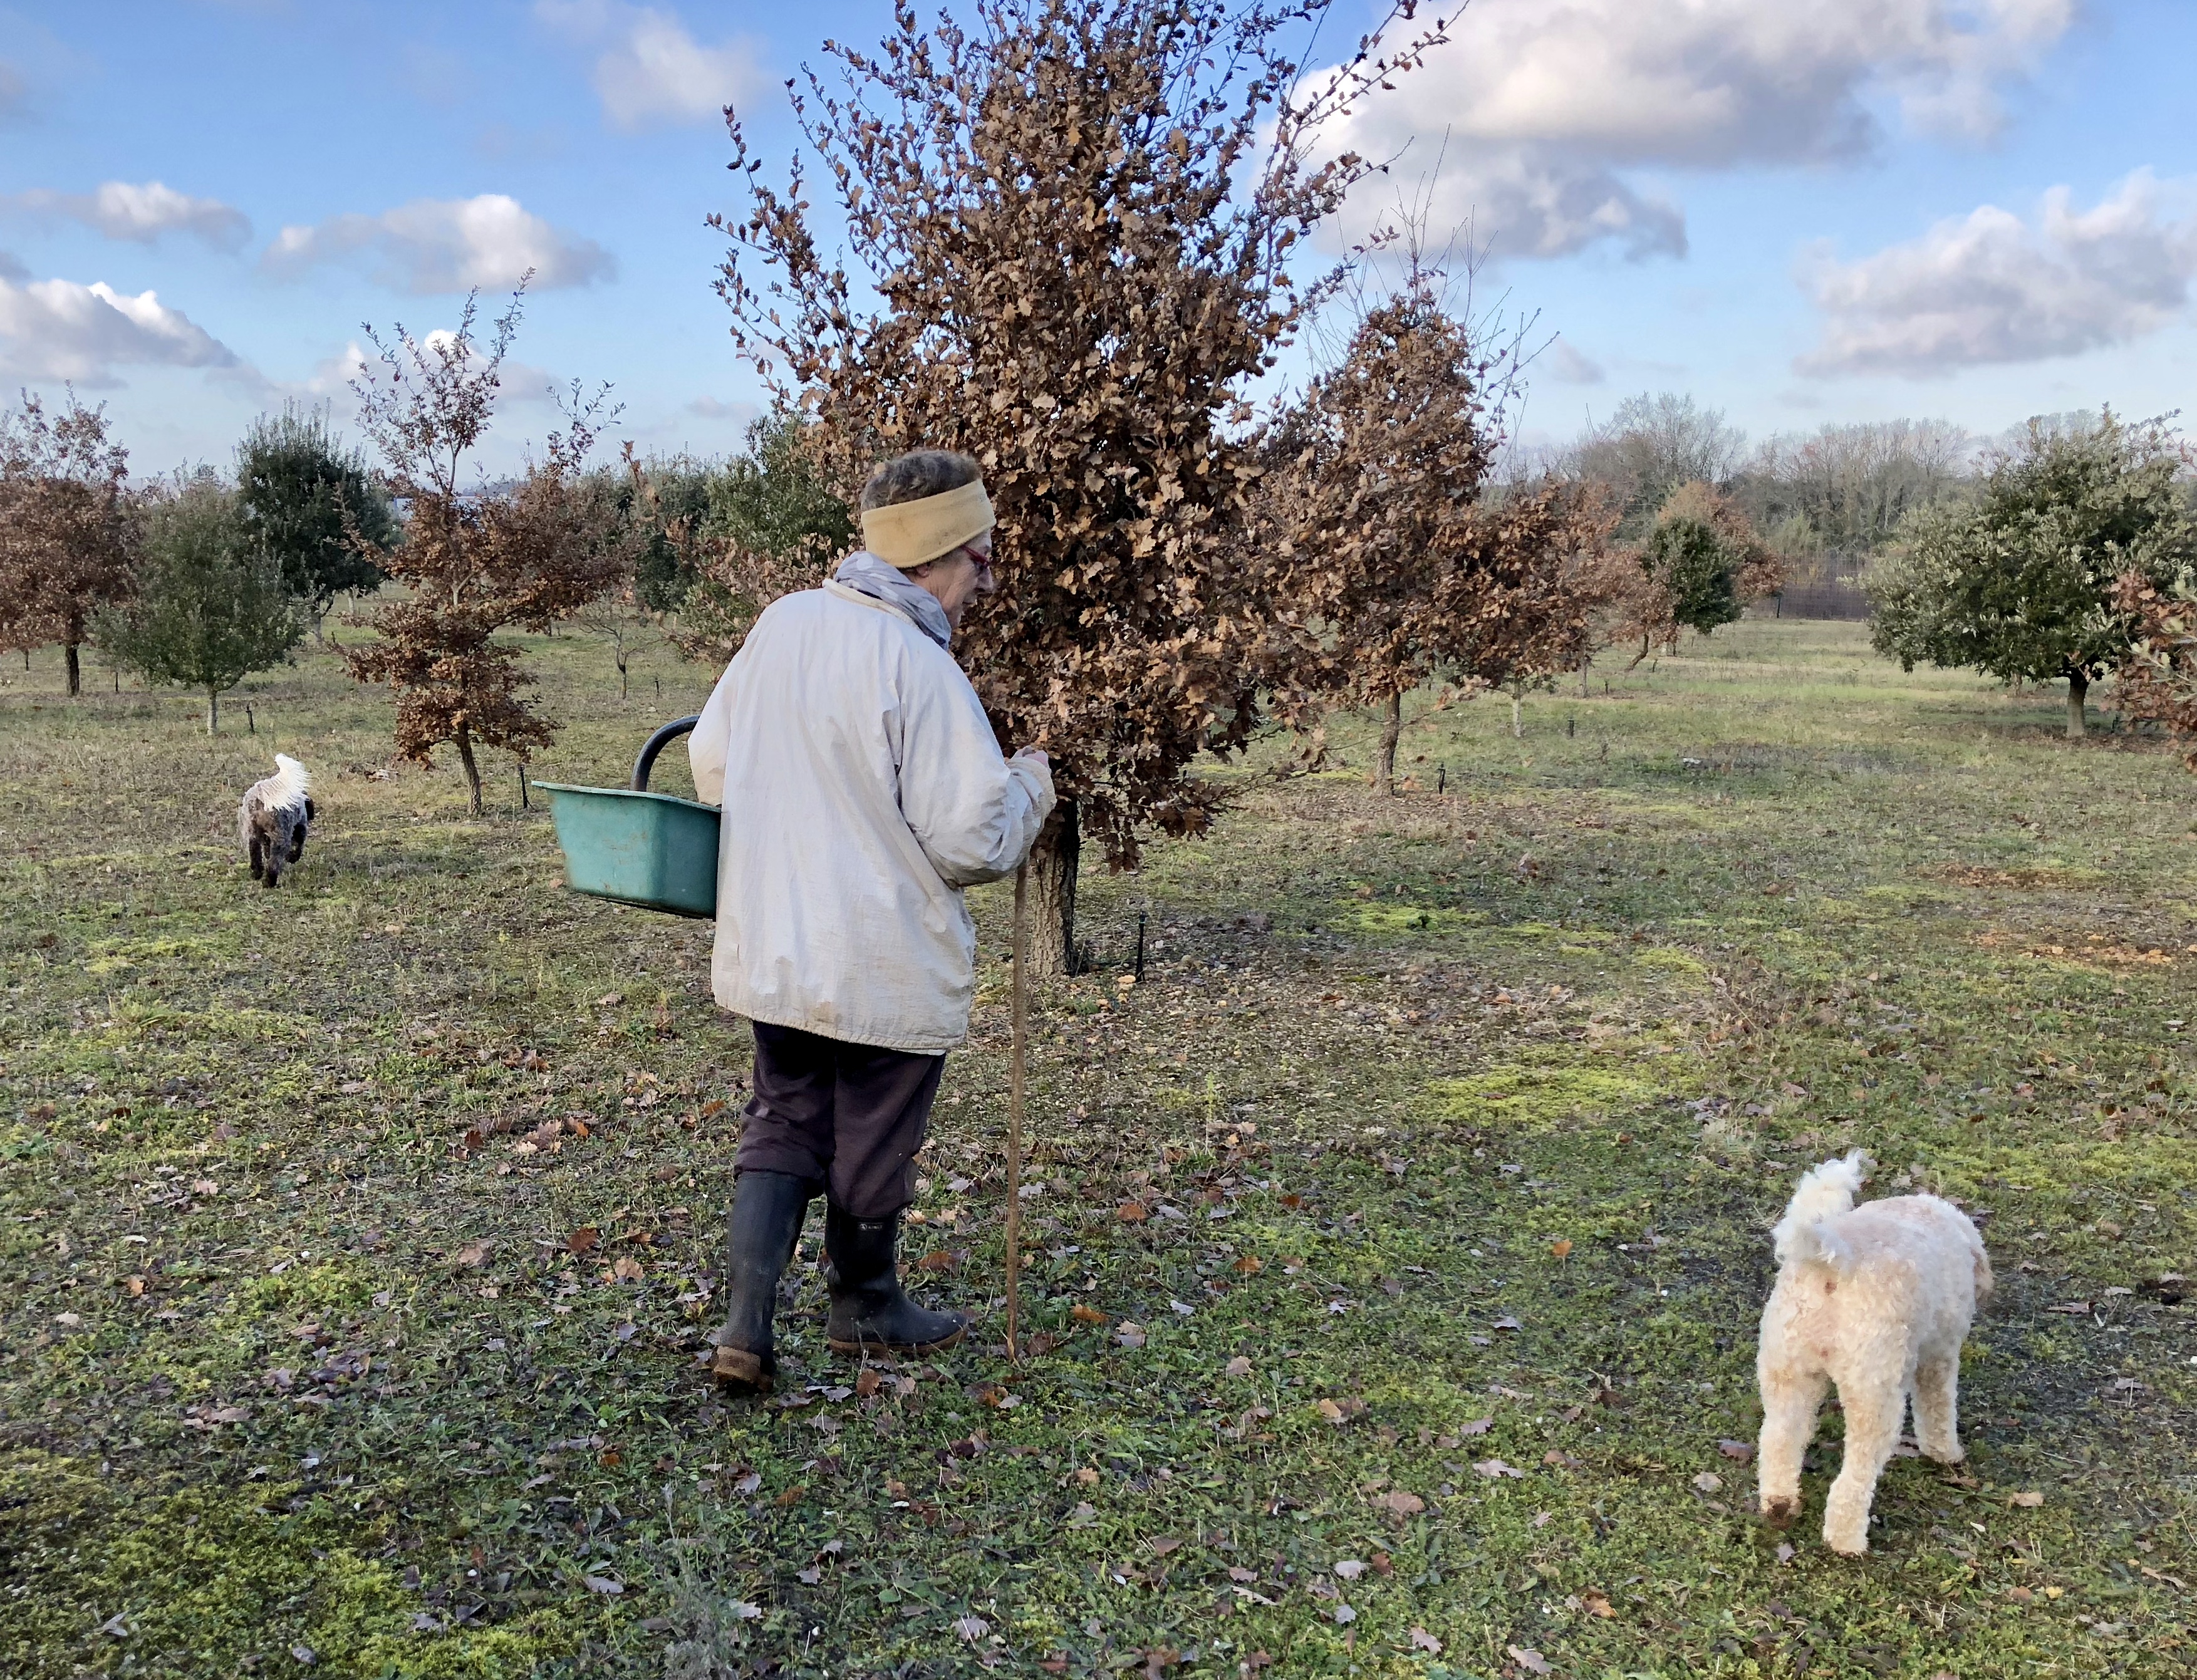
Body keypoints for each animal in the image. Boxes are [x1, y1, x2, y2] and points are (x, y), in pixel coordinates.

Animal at [238, 755, 316, 883]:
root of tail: (261, 795)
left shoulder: (266, 838)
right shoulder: (300, 827)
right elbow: (298, 846)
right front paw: (292, 858)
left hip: (253, 833)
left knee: (255, 853)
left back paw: (257, 874)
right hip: (280, 835)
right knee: (274, 862)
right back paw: (269, 882)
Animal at [1748, 1151, 1995, 1555]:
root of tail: (1832, 1264)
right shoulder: (1938, 1356)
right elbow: (1938, 1410)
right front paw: (1945, 1453)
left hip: (1787, 1373)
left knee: (1779, 1440)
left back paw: (1780, 1505)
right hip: (1874, 1394)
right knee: (1854, 1478)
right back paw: (1847, 1541)